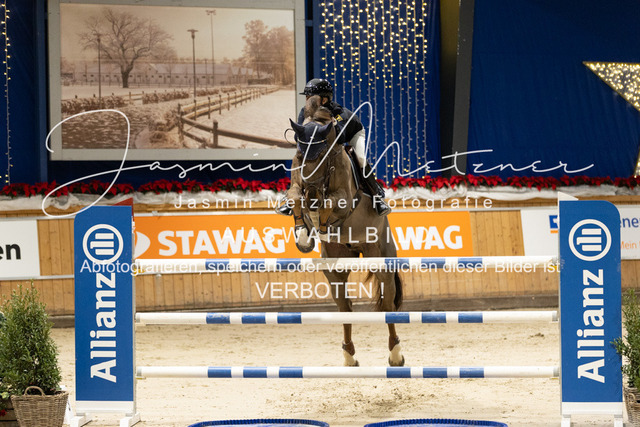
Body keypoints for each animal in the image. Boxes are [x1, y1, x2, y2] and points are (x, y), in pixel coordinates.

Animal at [286, 95, 405, 367]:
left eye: (322, 155)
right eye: (300, 154)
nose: (312, 193)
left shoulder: (344, 200)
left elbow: (330, 204)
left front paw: (318, 220)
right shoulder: (298, 184)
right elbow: (295, 196)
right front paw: (305, 234)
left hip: (380, 258)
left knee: (388, 304)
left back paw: (395, 354)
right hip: (335, 267)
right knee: (345, 308)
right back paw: (349, 355)